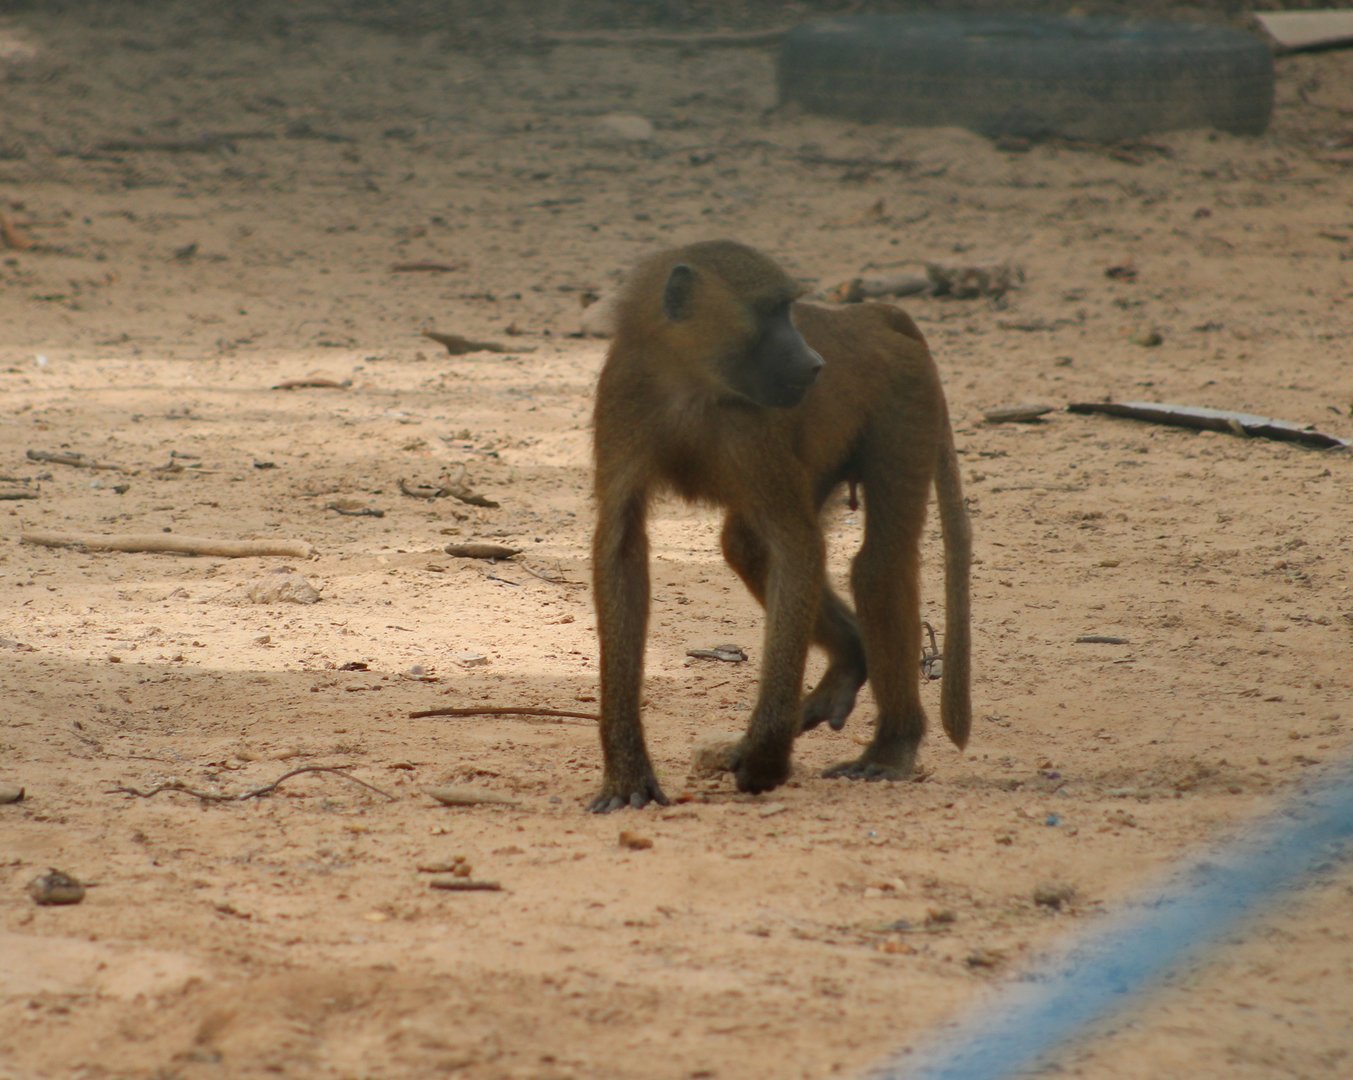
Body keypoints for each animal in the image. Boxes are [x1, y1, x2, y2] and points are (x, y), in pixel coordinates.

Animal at [589, 240, 971, 813]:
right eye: (770, 311)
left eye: (788, 310)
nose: (815, 364)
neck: (689, 382)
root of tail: (862, 317)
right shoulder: (624, 398)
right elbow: (621, 547)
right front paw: (628, 773)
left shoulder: (751, 430)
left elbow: (797, 545)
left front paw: (766, 757)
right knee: (747, 546)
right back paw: (848, 662)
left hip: (908, 399)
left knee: (878, 565)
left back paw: (890, 749)